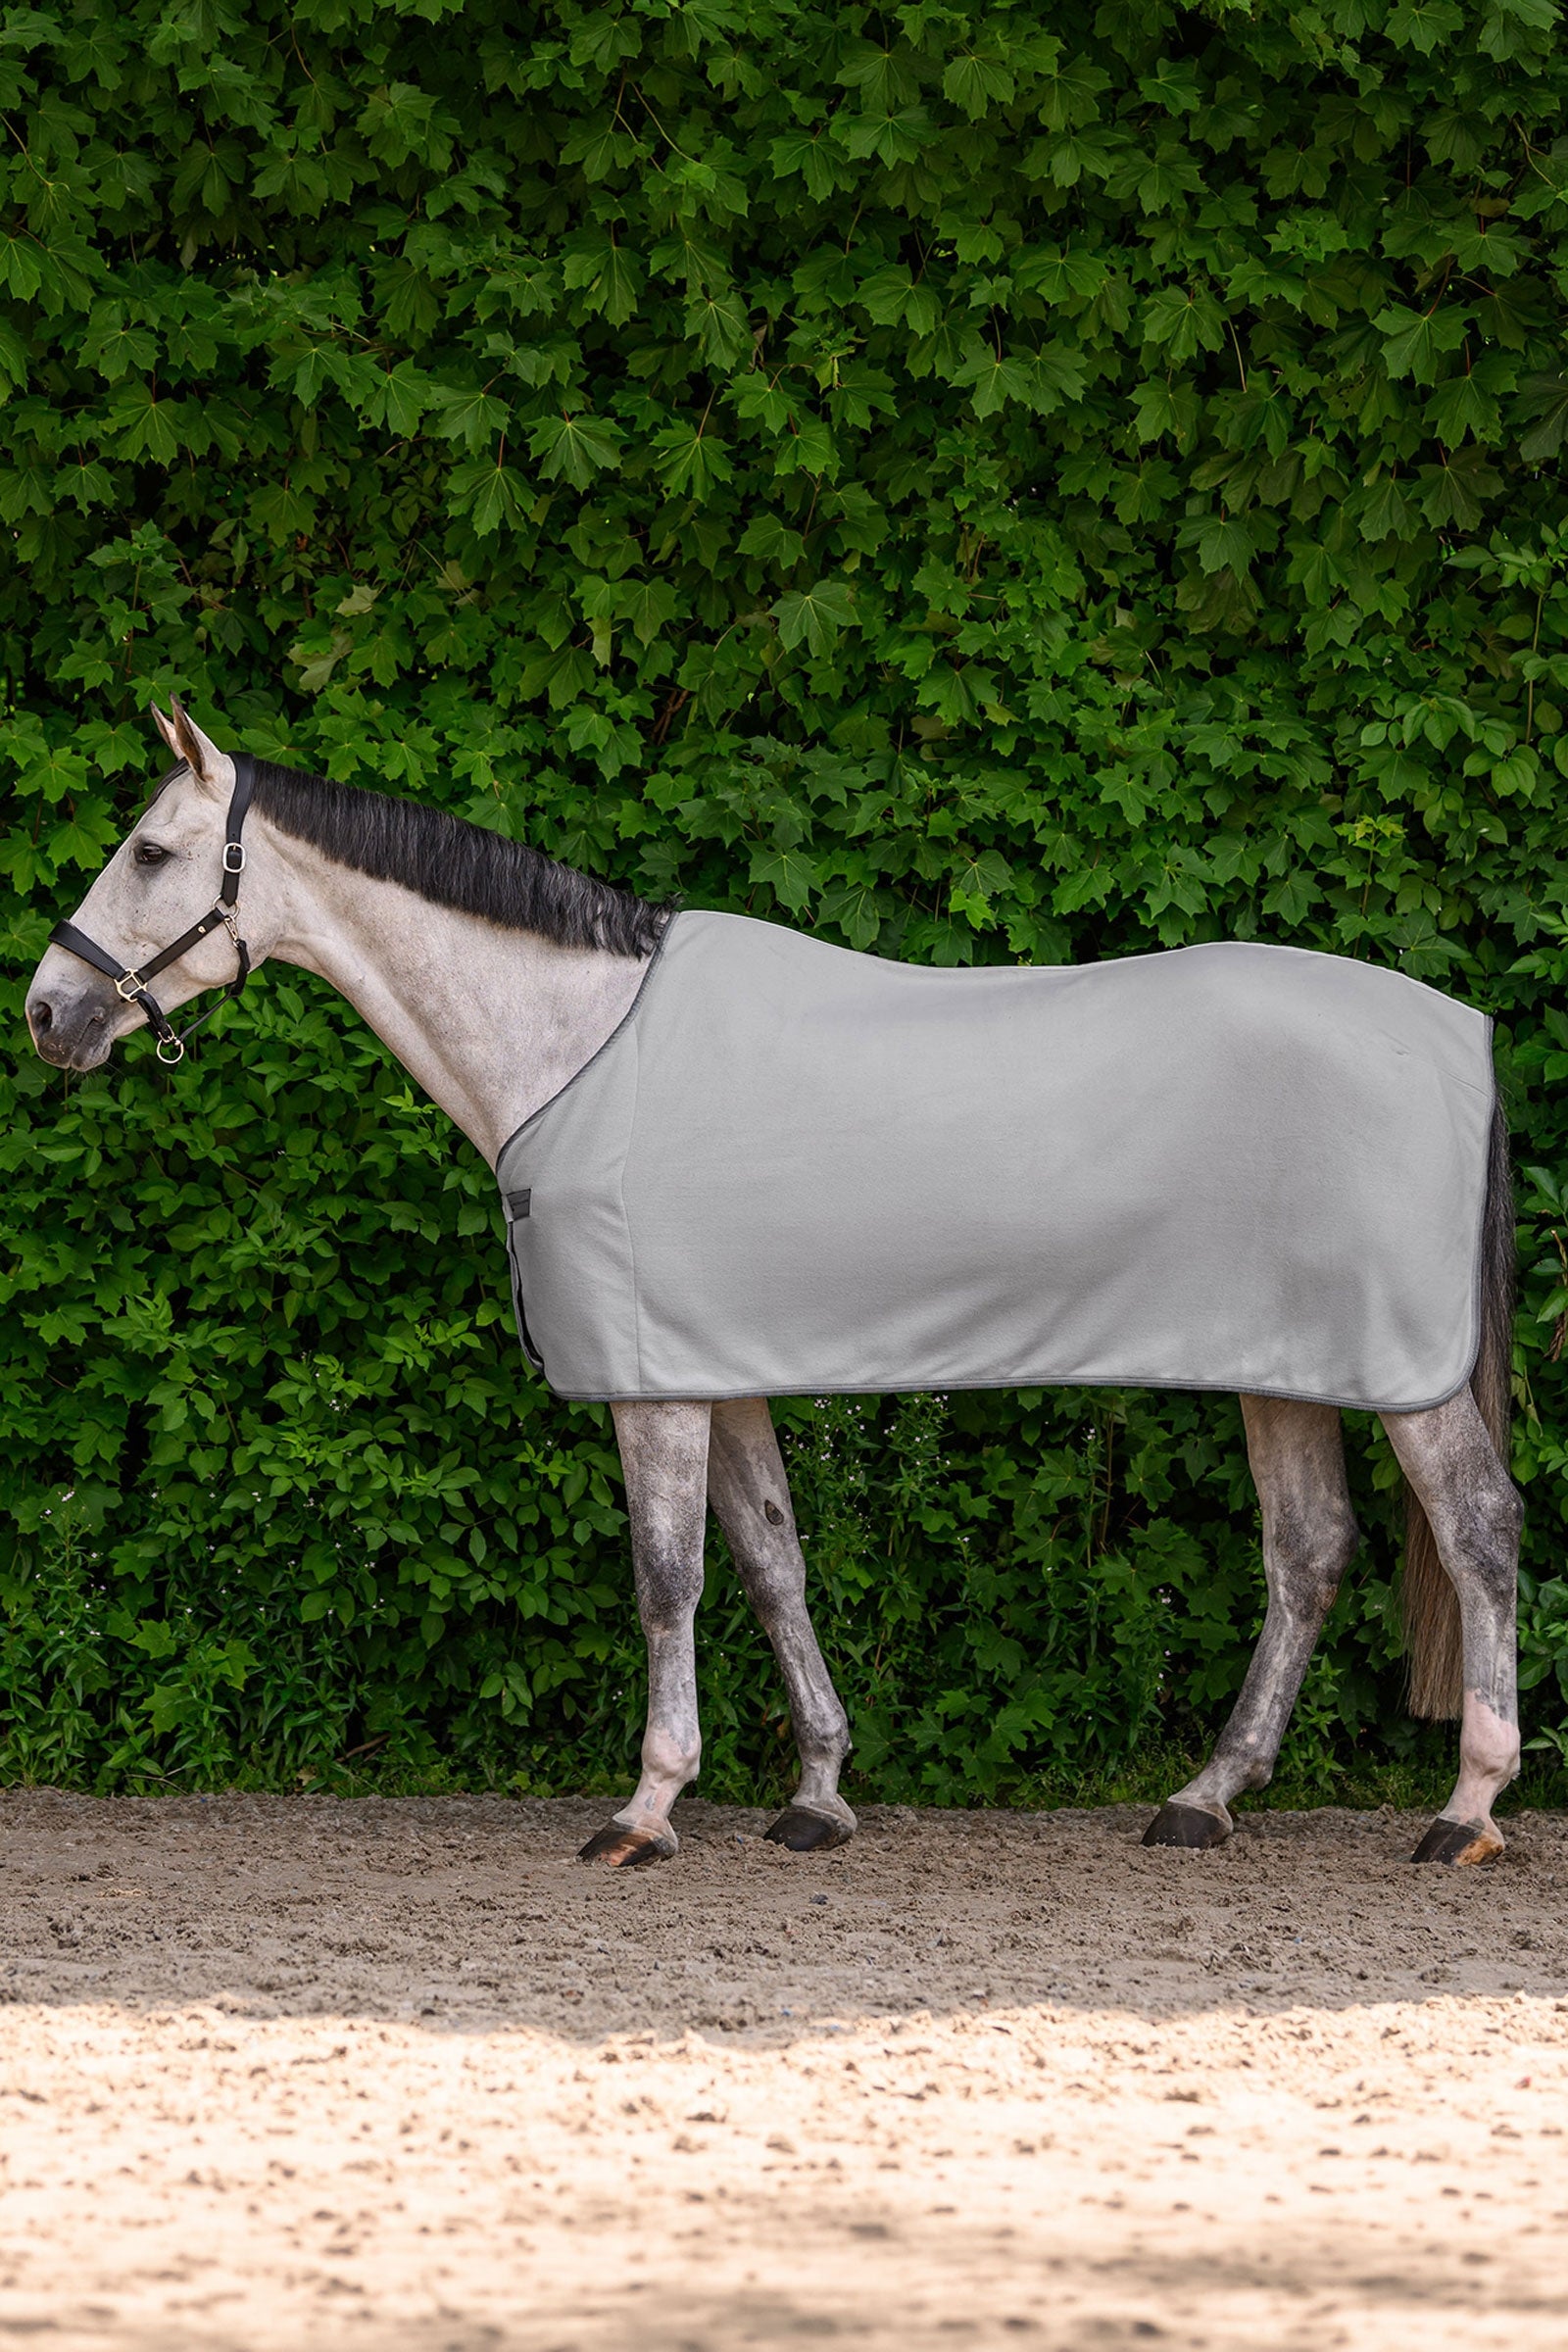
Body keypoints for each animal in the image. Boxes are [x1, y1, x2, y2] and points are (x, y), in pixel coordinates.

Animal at [25, 699, 1522, 1870]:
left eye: (150, 851)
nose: (50, 1012)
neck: (577, 1045)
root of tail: (1463, 1033)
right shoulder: (715, 1369)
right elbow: (769, 1561)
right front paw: (817, 1793)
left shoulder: (654, 1387)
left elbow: (667, 1579)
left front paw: (646, 1808)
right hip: (1289, 1368)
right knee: (1309, 1552)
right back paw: (1205, 1799)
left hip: (1409, 1377)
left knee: (1478, 1526)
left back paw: (1467, 1809)